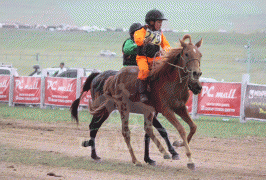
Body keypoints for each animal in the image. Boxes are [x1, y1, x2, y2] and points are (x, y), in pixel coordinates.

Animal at [82, 34, 202, 169]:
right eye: (186, 54)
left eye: (200, 55)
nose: (197, 74)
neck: (169, 82)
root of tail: (112, 78)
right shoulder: (166, 110)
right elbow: (179, 129)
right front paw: (189, 159)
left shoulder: (179, 108)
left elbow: (193, 127)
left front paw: (178, 144)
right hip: (122, 107)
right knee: (123, 131)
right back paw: (135, 160)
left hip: (117, 109)